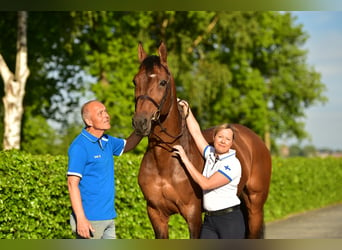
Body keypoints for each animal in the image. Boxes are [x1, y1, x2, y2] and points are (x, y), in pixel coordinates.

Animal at [132, 41, 272, 238]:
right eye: (135, 81)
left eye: (162, 82)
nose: (140, 122)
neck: (164, 163)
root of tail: (255, 140)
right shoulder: (156, 213)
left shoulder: (193, 214)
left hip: (255, 206)